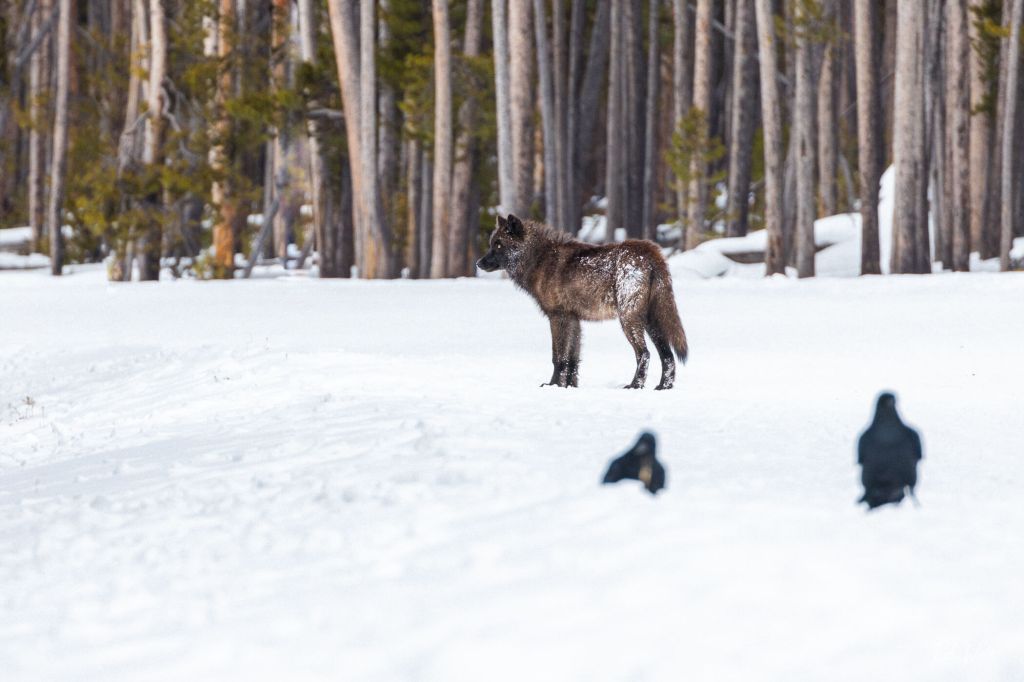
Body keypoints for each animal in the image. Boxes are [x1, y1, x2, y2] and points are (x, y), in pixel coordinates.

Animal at [476, 214, 689, 389]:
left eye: (498, 245)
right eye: (491, 244)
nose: (478, 263)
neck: (539, 260)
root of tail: (649, 250)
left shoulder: (558, 317)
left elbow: (558, 358)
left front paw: (554, 385)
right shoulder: (574, 320)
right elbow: (572, 359)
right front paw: (570, 386)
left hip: (629, 320)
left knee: (644, 353)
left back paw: (635, 386)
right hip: (651, 321)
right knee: (667, 355)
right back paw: (663, 387)